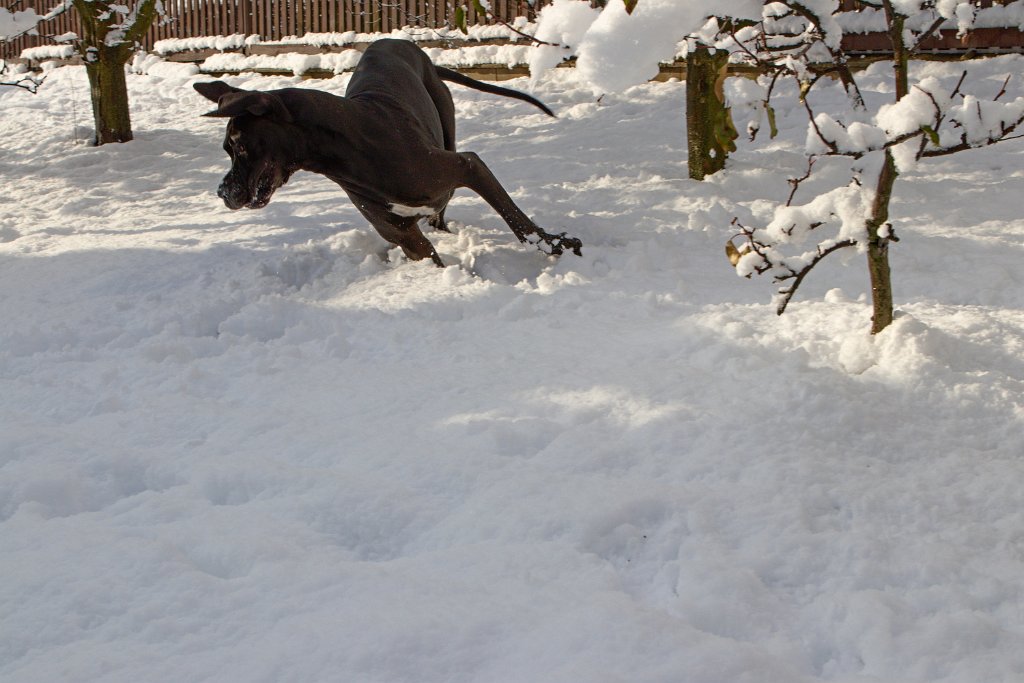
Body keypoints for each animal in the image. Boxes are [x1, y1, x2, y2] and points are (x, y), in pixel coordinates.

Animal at [195, 38, 581, 266]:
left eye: (239, 146)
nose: (222, 192)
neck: (353, 150)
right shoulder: (403, 235)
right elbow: (428, 255)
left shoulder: (467, 165)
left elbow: (518, 220)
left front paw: (552, 245)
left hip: (447, 130)